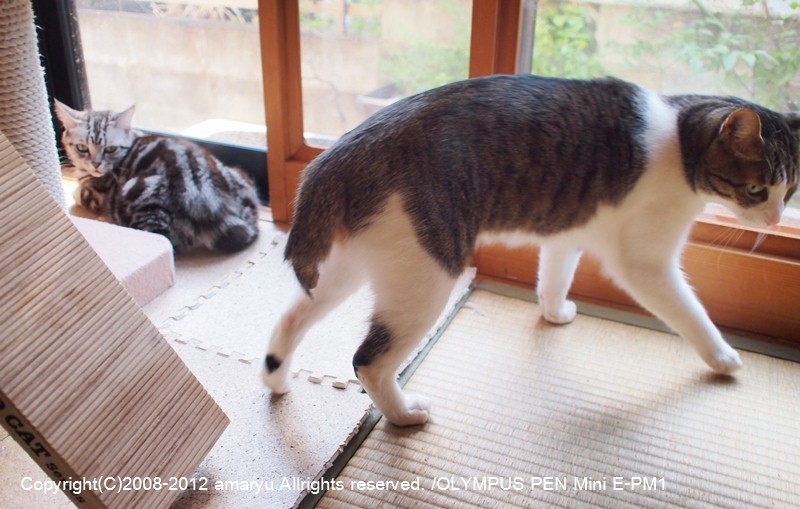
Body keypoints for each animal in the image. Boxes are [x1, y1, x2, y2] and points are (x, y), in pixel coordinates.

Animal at [54, 100, 261, 253]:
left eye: (110, 149)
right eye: (82, 148)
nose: (96, 164)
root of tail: (211, 204)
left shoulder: (96, 193)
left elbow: (79, 193)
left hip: (139, 195)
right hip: (241, 176)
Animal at [262, 74, 800, 427]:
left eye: (790, 190)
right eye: (757, 190)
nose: (776, 220)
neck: (681, 141)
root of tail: (336, 157)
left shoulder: (567, 233)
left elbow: (554, 275)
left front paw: (554, 311)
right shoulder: (645, 262)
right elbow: (693, 313)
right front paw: (723, 356)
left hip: (351, 267)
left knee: (291, 317)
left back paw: (278, 379)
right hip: (425, 277)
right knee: (367, 361)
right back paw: (404, 413)